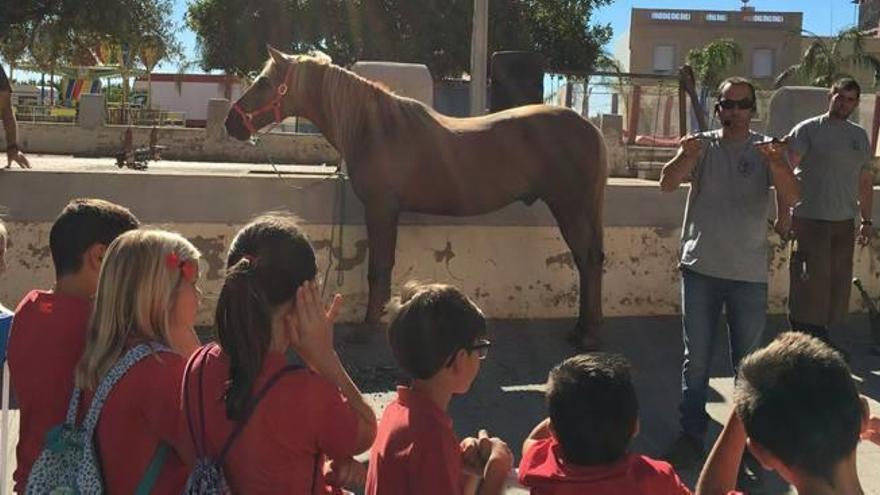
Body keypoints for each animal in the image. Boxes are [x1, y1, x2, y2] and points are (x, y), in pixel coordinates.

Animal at [223, 46, 608, 348]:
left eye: (264, 82)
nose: (231, 123)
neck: (376, 129)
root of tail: (589, 128)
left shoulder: (380, 210)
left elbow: (379, 268)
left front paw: (367, 326)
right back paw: (582, 328)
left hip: (569, 207)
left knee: (587, 260)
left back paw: (587, 335)